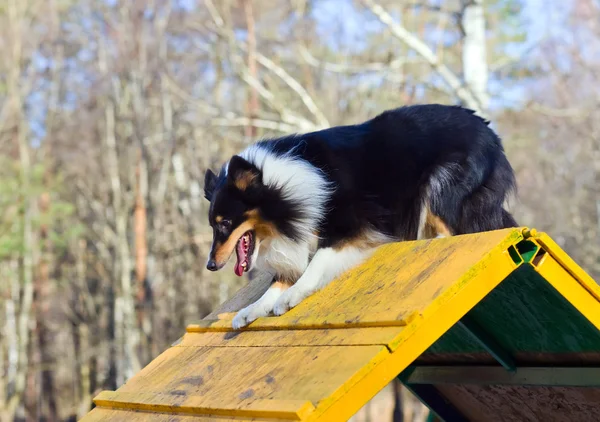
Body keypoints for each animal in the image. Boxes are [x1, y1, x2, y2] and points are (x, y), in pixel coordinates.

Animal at [204, 104, 516, 328]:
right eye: (213, 226)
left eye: (226, 223)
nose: (210, 265)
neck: (283, 186)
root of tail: (491, 133)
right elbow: (277, 282)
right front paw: (251, 309)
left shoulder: (353, 226)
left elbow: (317, 261)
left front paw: (292, 296)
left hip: (438, 184)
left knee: (452, 230)